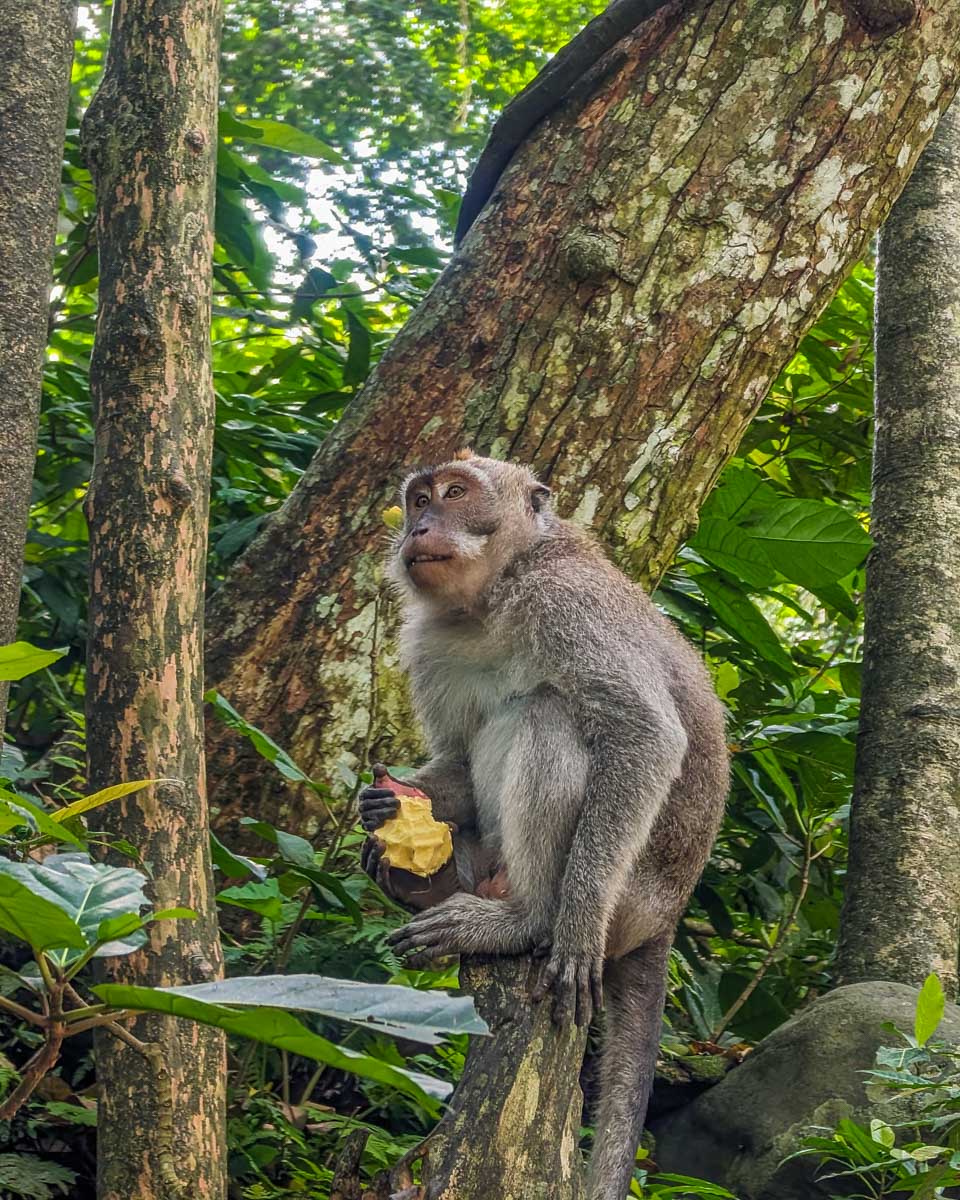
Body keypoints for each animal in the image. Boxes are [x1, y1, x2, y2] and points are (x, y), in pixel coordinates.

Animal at [359, 451, 728, 1200]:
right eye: (418, 499)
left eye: (456, 493)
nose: (420, 527)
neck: (491, 600)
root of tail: (668, 918)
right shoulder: (432, 640)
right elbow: (459, 759)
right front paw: (385, 807)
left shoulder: (565, 600)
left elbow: (645, 735)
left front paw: (573, 920)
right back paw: (429, 886)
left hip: (628, 902)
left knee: (546, 714)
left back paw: (523, 918)